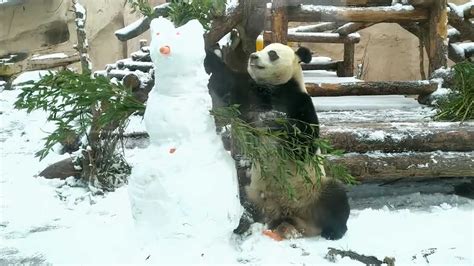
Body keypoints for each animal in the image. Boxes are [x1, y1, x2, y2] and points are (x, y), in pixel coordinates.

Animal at [203, 42, 348, 240]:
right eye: (260, 49)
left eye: (272, 54)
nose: (253, 57)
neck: (274, 88)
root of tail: (287, 215)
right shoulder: (250, 94)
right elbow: (227, 86)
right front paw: (211, 55)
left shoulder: (300, 102)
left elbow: (304, 143)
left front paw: (276, 122)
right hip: (253, 193)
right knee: (243, 199)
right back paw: (242, 224)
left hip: (314, 189)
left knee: (336, 196)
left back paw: (333, 232)